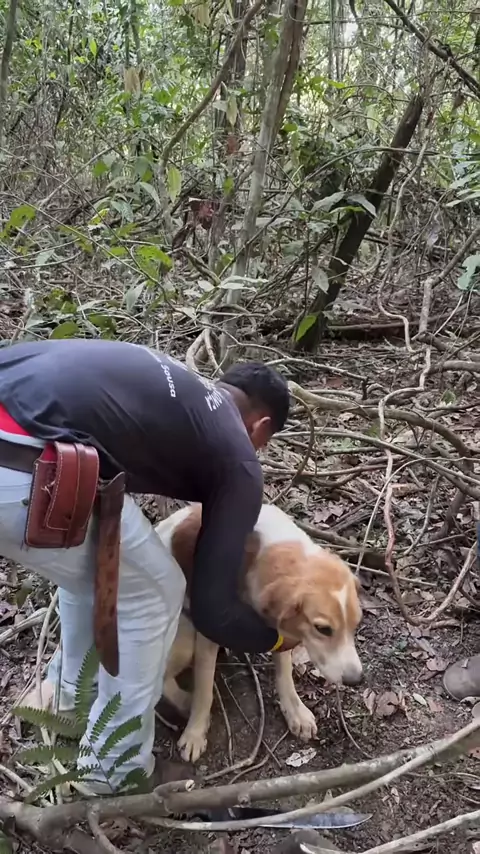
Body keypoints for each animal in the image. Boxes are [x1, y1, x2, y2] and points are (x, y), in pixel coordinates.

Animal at [156, 503, 363, 763]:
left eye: (355, 624)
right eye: (323, 629)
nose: (356, 679)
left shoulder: (277, 629)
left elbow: (284, 674)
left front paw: (295, 711)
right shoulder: (210, 631)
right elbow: (204, 691)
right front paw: (195, 733)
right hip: (184, 638)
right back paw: (185, 701)